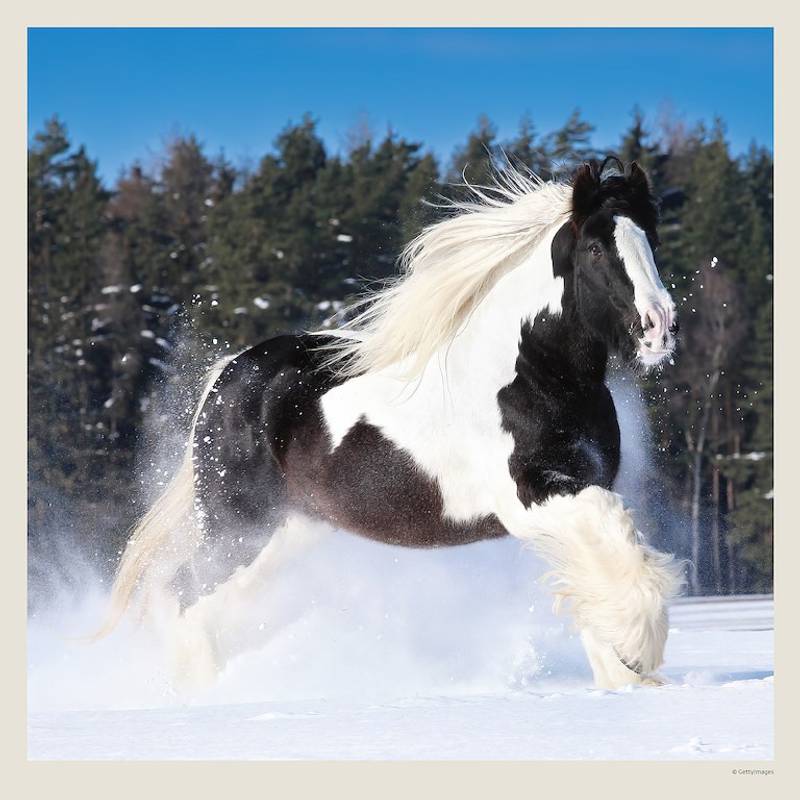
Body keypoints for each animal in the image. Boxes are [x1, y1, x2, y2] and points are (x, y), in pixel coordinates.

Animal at [99, 156, 685, 691]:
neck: (532, 374)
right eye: (596, 248)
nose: (659, 328)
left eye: (651, 240)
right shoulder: (532, 497)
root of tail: (228, 375)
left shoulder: (582, 485)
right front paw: (640, 652)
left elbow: (595, 575)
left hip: (287, 530)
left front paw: (625, 678)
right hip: (239, 525)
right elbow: (616, 541)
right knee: (183, 592)